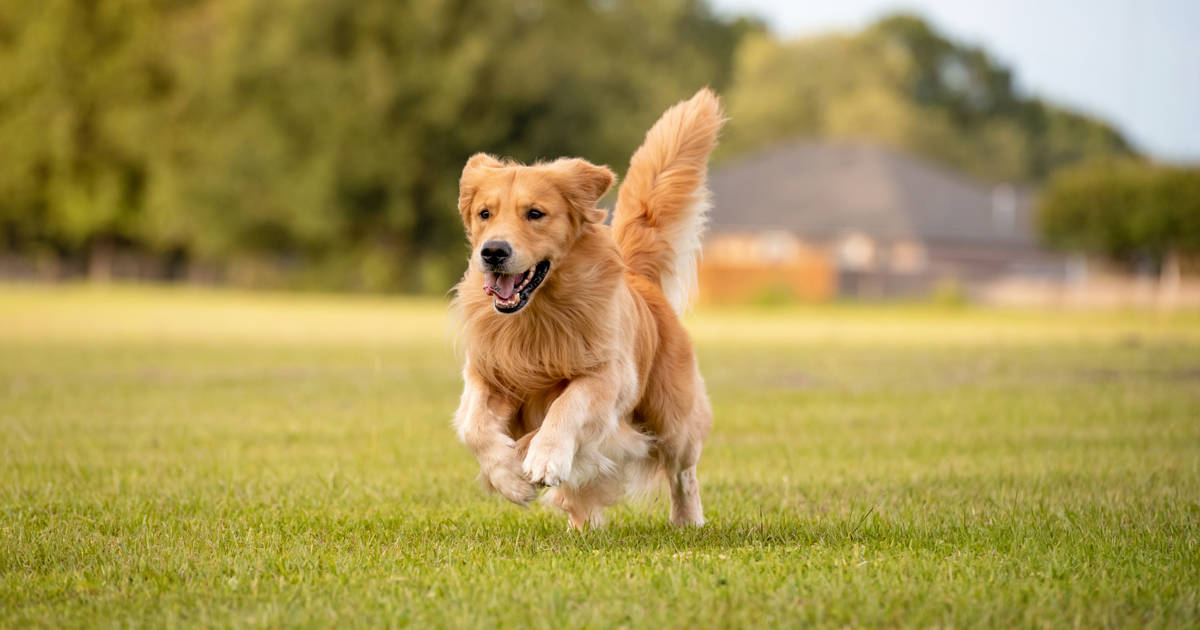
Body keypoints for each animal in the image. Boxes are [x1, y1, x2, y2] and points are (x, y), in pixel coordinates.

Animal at [451, 88, 720, 528]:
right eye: (484, 213)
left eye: (535, 213)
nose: (492, 252)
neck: (537, 315)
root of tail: (640, 279)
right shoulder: (486, 372)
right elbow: (474, 426)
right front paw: (508, 476)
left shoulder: (608, 376)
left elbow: (566, 404)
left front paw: (543, 456)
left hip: (672, 417)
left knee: (683, 471)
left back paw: (687, 520)